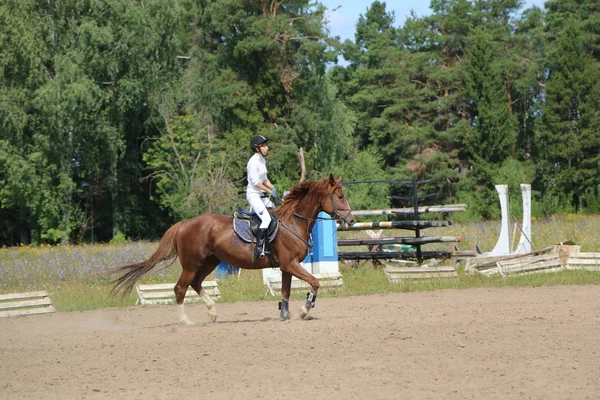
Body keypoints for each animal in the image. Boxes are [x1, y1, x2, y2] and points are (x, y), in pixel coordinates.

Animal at [110, 173, 354, 324]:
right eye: (340, 196)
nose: (350, 221)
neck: (293, 221)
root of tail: (184, 223)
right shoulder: (290, 264)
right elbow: (315, 282)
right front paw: (305, 309)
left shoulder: (286, 267)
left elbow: (285, 291)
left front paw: (286, 315)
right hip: (192, 263)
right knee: (180, 288)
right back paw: (187, 321)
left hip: (210, 262)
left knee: (196, 284)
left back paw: (212, 312)